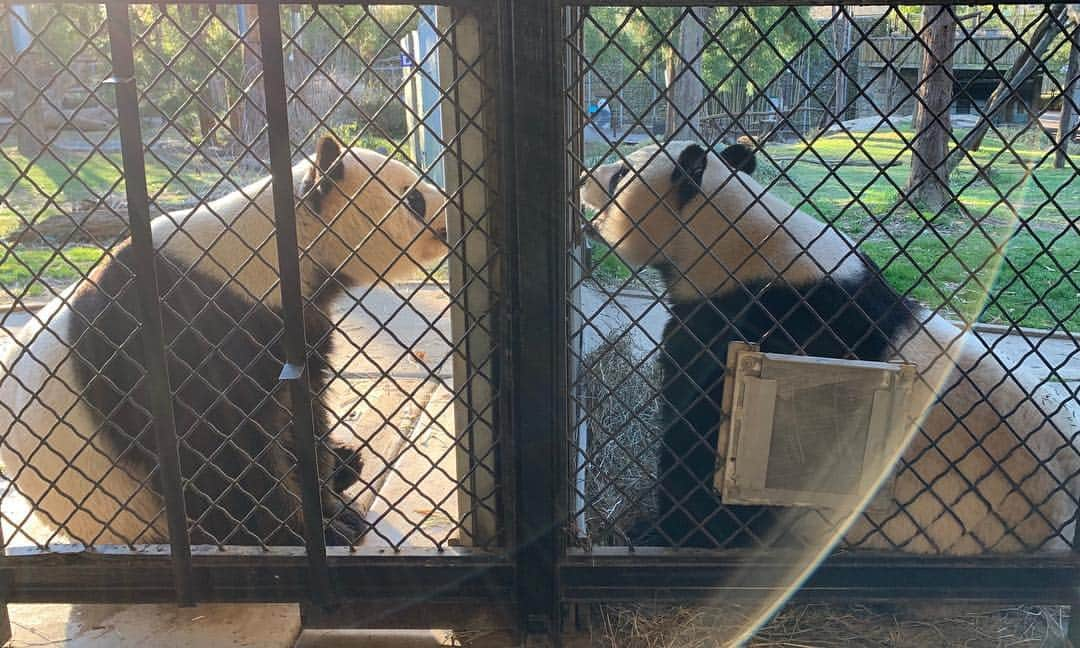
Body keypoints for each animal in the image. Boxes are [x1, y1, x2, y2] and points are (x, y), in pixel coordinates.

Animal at [0, 136, 447, 546]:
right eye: (413, 198)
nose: (449, 219)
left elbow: (300, 407)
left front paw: (328, 498)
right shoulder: (191, 329)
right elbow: (220, 449)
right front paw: (321, 528)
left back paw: (346, 461)